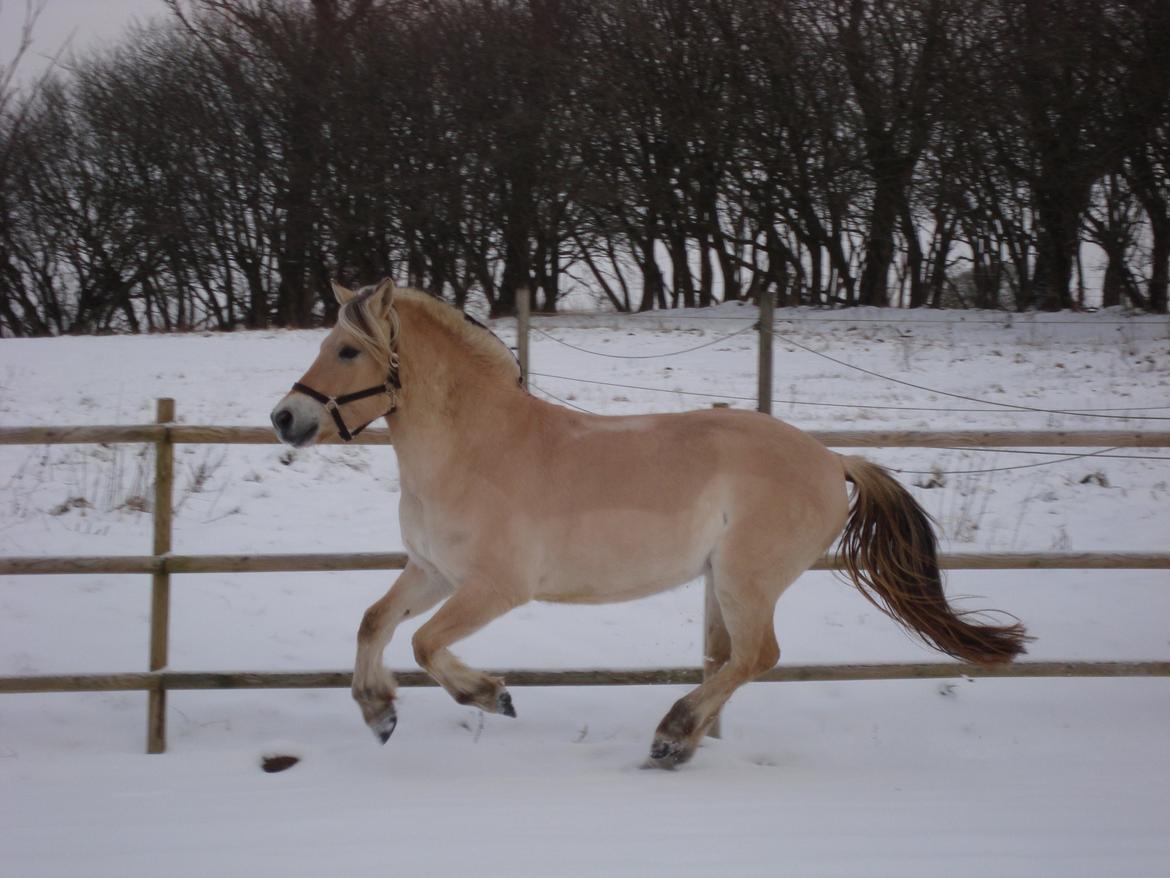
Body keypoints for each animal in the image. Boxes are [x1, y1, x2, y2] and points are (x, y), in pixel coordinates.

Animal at [269, 278, 1029, 767]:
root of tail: (831, 459)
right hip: (727, 581)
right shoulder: (432, 570)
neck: (475, 447)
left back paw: (671, 734)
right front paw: (378, 713)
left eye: (347, 350)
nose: (285, 418)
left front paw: (490, 696)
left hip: (747, 579)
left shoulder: (495, 589)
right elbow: (374, 622)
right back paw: (684, 740)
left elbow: (425, 644)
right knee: (734, 659)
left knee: (757, 656)